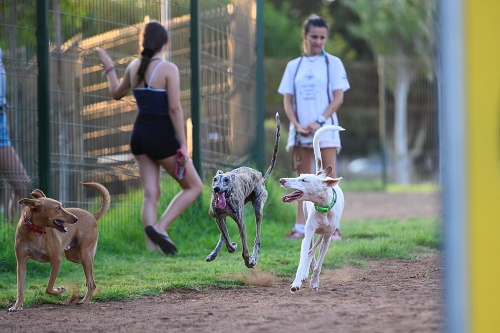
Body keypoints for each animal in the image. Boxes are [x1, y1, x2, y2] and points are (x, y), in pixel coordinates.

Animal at [7, 180, 110, 310]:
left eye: (61, 206)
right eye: (58, 208)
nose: (76, 218)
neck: (35, 231)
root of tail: (92, 215)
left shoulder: (56, 260)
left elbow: (49, 288)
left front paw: (60, 290)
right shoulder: (21, 263)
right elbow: (20, 288)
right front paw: (17, 306)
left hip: (85, 254)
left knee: (91, 282)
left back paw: (85, 300)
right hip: (74, 256)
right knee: (90, 276)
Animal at [205, 112, 280, 268]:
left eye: (226, 180)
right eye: (215, 179)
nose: (216, 189)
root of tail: (261, 177)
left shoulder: (241, 223)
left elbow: (244, 246)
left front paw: (247, 260)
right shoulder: (218, 218)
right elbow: (226, 238)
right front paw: (232, 246)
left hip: (258, 209)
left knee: (257, 238)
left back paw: (254, 258)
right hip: (223, 217)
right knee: (223, 235)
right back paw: (214, 254)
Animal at [280, 124, 346, 290]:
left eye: (303, 180)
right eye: (299, 176)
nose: (281, 180)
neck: (323, 208)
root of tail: (321, 175)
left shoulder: (328, 237)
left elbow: (319, 263)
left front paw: (314, 281)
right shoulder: (309, 232)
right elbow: (305, 255)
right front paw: (297, 281)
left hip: (325, 233)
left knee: (314, 248)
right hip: (307, 223)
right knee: (310, 249)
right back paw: (304, 272)